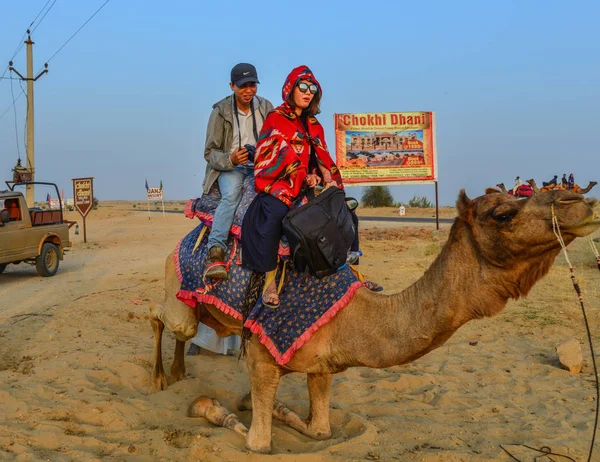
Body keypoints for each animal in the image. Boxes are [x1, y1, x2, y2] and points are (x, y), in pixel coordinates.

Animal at [149, 186, 600, 452]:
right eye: (503, 214)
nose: (580, 203)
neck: (356, 314)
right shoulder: (263, 353)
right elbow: (259, 442)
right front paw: (211, 406)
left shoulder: (321, 364)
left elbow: (321, 430)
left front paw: (273, 409)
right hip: (178, 278)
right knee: (164, 317)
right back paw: (159, 378)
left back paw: (177, 372)